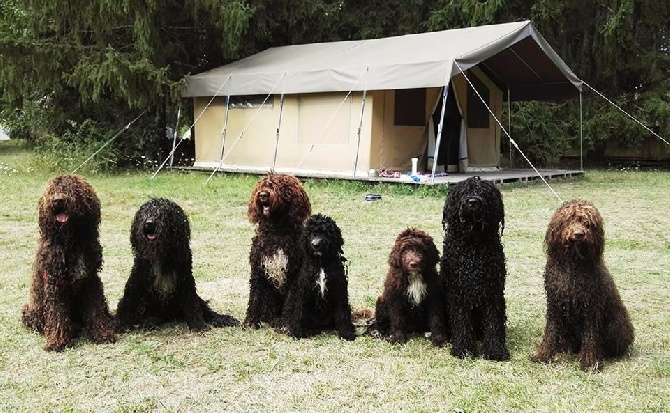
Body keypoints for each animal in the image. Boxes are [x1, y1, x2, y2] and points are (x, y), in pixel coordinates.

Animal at [21, 172, 117, 350]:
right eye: (53, 190)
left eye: (72, 189)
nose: (58, 200)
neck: (71, 243)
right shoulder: (55, 283)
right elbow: (57, 313)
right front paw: (57, 341)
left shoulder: (90, 280)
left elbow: (95, 310)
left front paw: (102, 334)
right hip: (29, 311)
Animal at [244, 174, 312, 328]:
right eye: (263, 185)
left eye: (280, 187)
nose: (263, 195)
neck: (276, 231)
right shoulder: (257, 270)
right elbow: (254, 297)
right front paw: (250, 321)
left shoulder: (294, 273)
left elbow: (291, 301)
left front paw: (285, 325)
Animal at [440, 175, 510, 358]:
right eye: (465, 191)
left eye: (483, 192)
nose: (473, 202)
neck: (474, 244)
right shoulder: (457, 292)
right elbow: (461, 321)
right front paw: (463, 349)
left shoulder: (493, 290)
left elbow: (493, 321)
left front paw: (495, 350)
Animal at [532, 200, 636, 370]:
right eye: (569, 220)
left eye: (588, 223)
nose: (579, 234)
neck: (573, 263)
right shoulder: (554, 304)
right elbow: (550, 331)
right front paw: (543, 355)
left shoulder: (591, 307)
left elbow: (590, 336)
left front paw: (590, 362)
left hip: (617, 324)